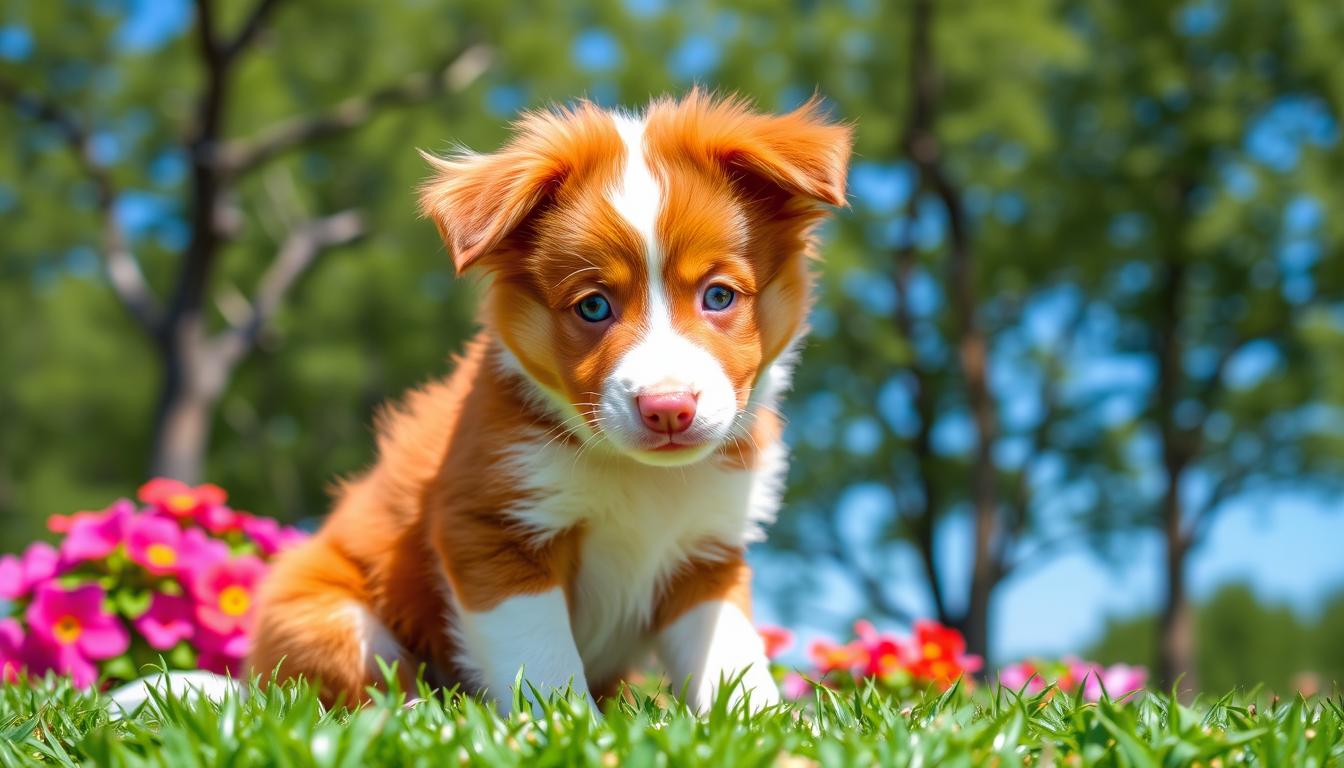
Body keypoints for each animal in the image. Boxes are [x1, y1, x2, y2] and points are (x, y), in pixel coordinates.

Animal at [247, 91, 849, 715]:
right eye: (593, 306)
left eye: (720, 296)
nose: (668, 408)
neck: (639, 473)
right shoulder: (494, 528)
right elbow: (543, 658)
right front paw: (563, 724)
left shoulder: (709, 550)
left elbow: (731, 657)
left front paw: (767, 722)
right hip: (322, 612)